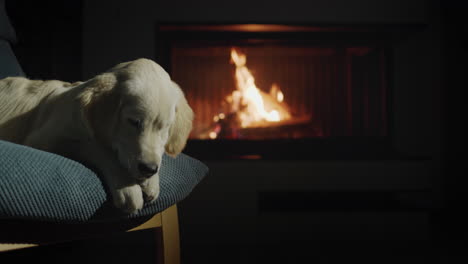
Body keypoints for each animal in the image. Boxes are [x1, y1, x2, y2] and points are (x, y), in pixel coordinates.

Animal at [0, 58, 194, 213]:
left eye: (165, 128)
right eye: (133, 122)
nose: (149, 169)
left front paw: (152, 182)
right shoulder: (42, 139)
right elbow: (97, 148)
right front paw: (128, 186)